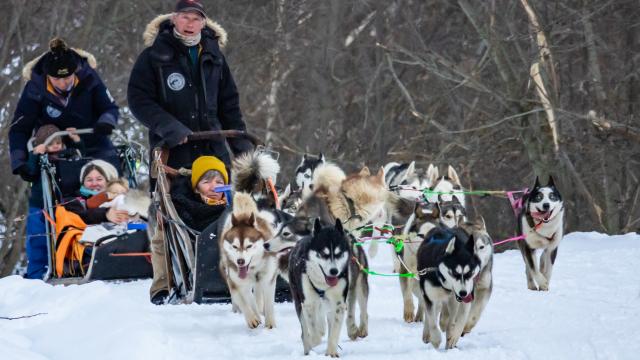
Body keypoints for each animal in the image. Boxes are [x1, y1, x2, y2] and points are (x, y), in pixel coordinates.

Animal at [220, 194, 278, 330]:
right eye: (235, 246)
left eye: (249, 246)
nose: (240, 261)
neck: (253, 269)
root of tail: (244, 214)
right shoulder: (235, 282)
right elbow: (244, 302)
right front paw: (252, 319)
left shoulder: (268, 280)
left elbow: (269, 303)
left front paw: (270, 325)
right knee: (250, 298)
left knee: (258, 295)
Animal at [288, 218, 364, 356]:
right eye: (323, 253)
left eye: (339, 254)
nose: (334, 271)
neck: (322, 284)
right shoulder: (308, 303)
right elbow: (315, 335)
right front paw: (312, 341)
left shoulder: (338, 304)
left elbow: (333, 331)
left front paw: (331, 352)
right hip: (299, 301)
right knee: (306, 328)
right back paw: (308, 348)